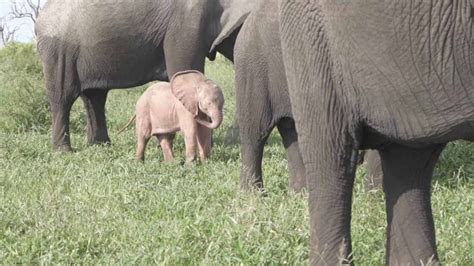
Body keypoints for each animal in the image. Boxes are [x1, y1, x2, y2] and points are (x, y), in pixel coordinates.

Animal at [36, 0, 256, 151]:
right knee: (63, 97)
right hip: (60, 51)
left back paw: (101, 145)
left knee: (95, 97)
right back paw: (64, 151)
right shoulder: (186, 22)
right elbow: (182, 71)